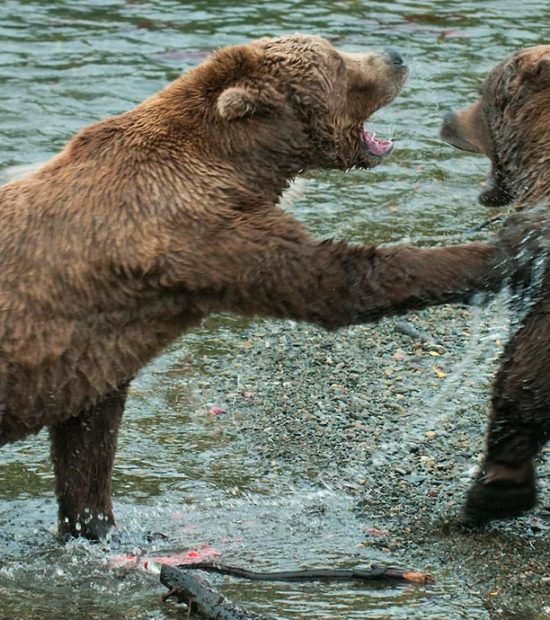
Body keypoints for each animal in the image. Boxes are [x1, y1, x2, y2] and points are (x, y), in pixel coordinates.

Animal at [0, 35, 516, 536]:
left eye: (336, 48)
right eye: (339, 62)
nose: (394, 56)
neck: (237, 163)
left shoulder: (91, 358)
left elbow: (88, 441)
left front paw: (94, 525)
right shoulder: (208, 233)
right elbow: (338, 281)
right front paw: (501, 251)